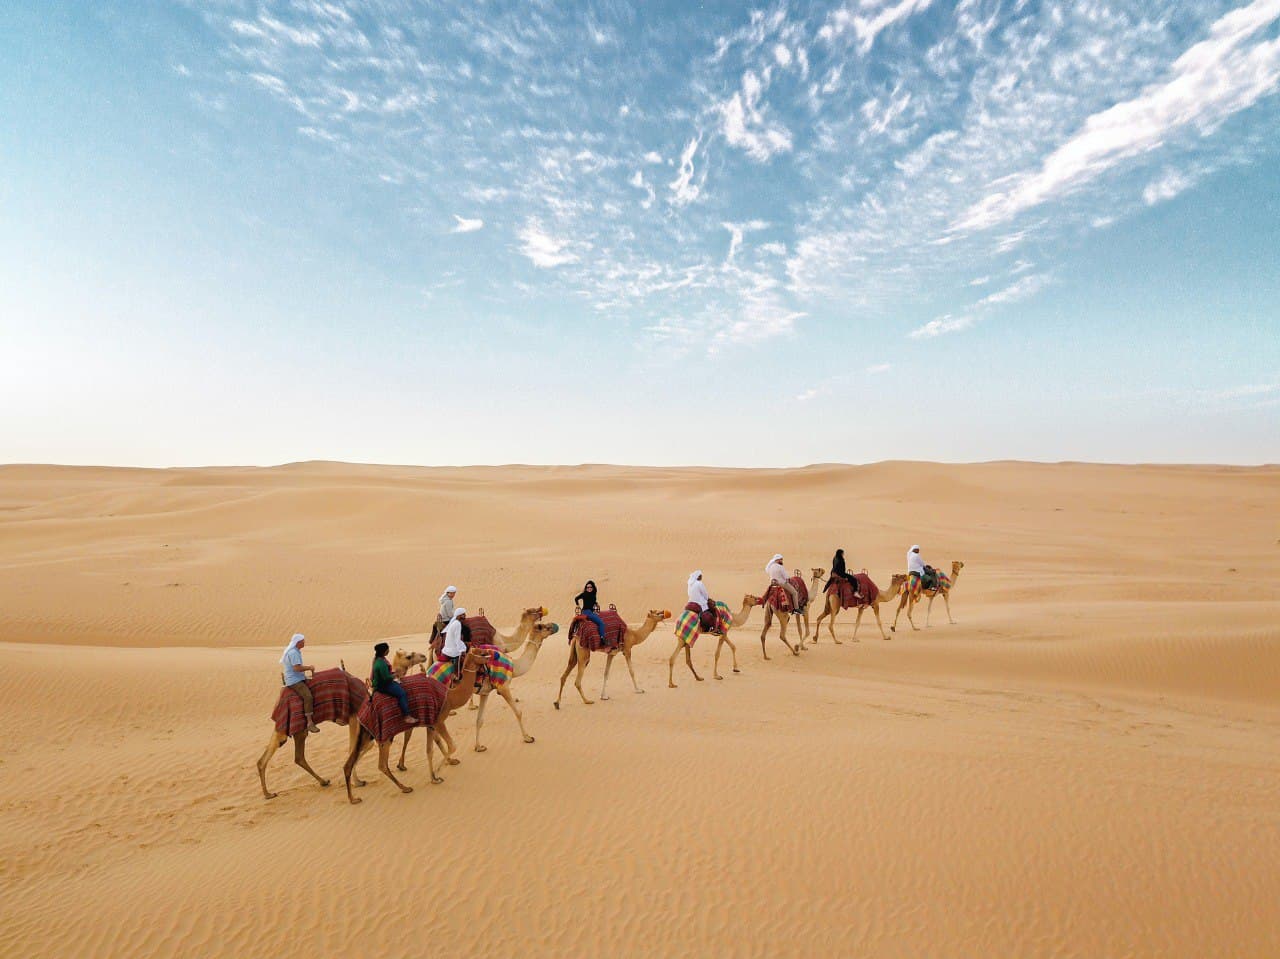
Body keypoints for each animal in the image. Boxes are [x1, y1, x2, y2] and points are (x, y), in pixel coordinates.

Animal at [342, 647, 493, 804]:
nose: (490, 655)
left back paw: (353, 796)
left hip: (366, 733)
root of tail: (364, 707)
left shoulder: (430, 724)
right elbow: (452, 745)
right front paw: (438, 772)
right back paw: (404, 788)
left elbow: (430, 750)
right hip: (383, 736)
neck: (450, 697)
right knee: (381, 764)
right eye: (482, 653)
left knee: (350, 761)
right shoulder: (439, 721)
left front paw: (434, 776)